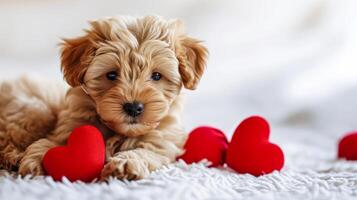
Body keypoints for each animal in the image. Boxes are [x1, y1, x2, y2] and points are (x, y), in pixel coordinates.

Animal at [0, 14, 206, 179]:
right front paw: (38, 159)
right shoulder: (68, 127)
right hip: (32, 110)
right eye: (112, 75)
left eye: (156, 76)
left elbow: (144, 151)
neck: (118, 131)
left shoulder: (162, 141)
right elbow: (52, 142)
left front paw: (126, 163)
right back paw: (14, 157)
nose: (133, 107)